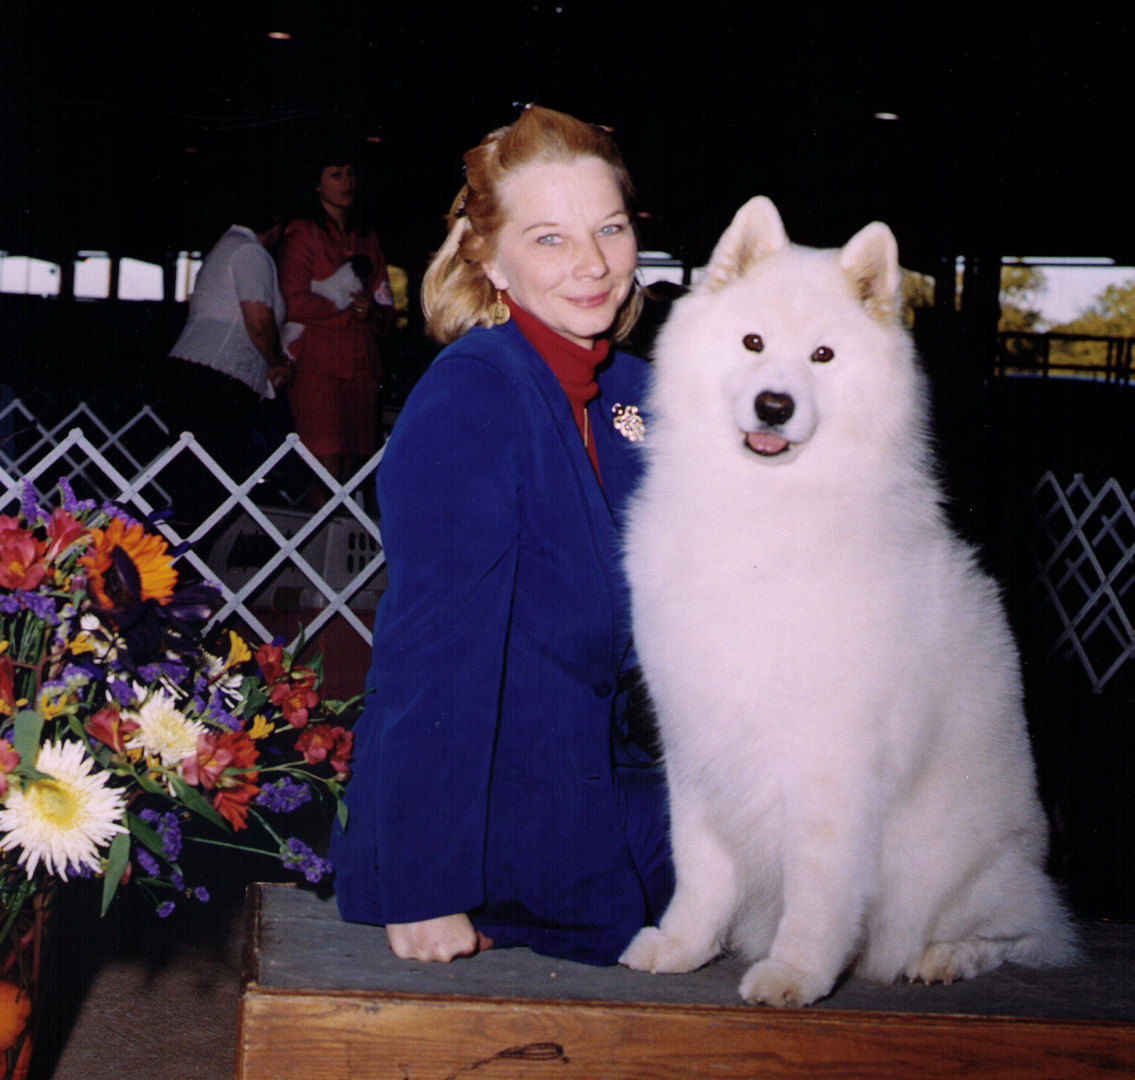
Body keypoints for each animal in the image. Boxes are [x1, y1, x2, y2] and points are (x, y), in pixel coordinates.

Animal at [617, 200, 1075, 1002]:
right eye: (753, 341)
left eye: (824, 357)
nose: (774, 405)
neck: (763, 513)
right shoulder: (697, 739)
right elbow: (699, 868)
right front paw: (682, 945)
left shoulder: (831, 760)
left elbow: (819, 888)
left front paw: (795, 973)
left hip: (958, 869)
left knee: (1026, 935)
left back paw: (943, 957)